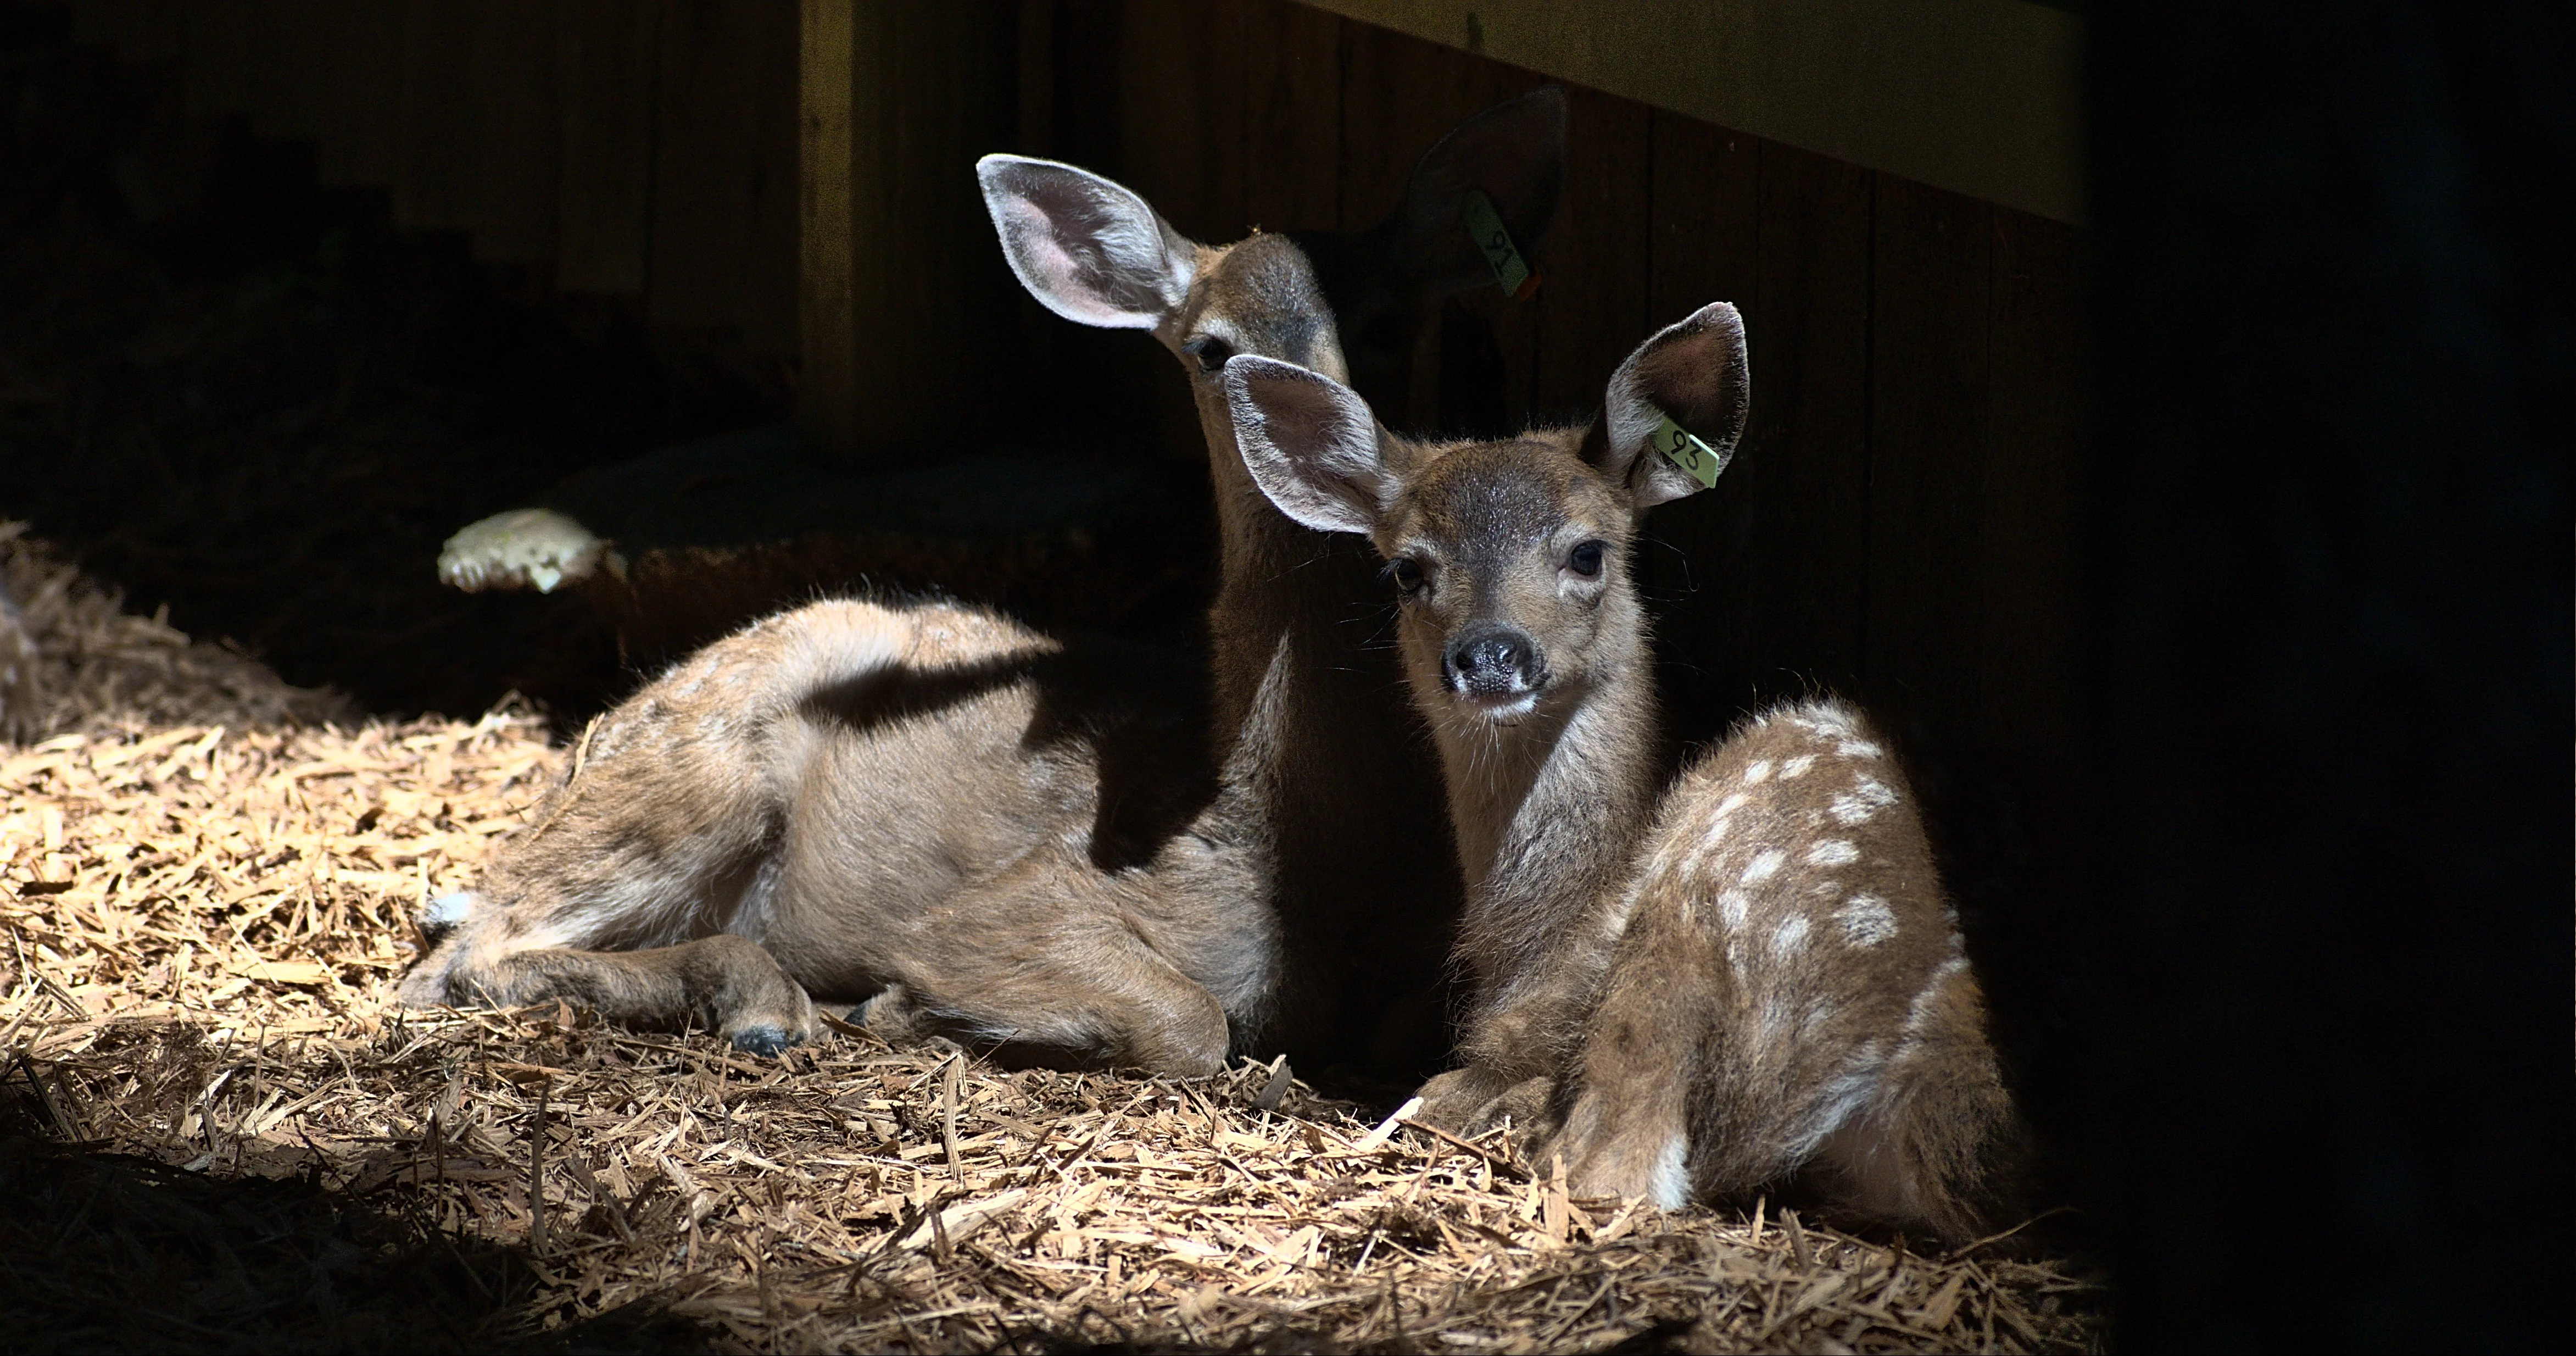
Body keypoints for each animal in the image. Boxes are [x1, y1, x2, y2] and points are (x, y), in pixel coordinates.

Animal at [398, 92, 1571, 1078]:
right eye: (1210, 349)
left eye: (1387, 324)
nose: (1311, 432)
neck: (1290, 834)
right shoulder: (1026, 900)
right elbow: (1192, 1019)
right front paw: (909, 1007)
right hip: (698, 773)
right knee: (463, 956)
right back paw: (770, 1002)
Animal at [1220, 301, 2022, 1240]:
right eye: (1407, 568)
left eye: (1587, 553)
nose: (1490, 655)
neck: (1534, 927)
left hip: (1728, 857)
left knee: (1613, 1161)